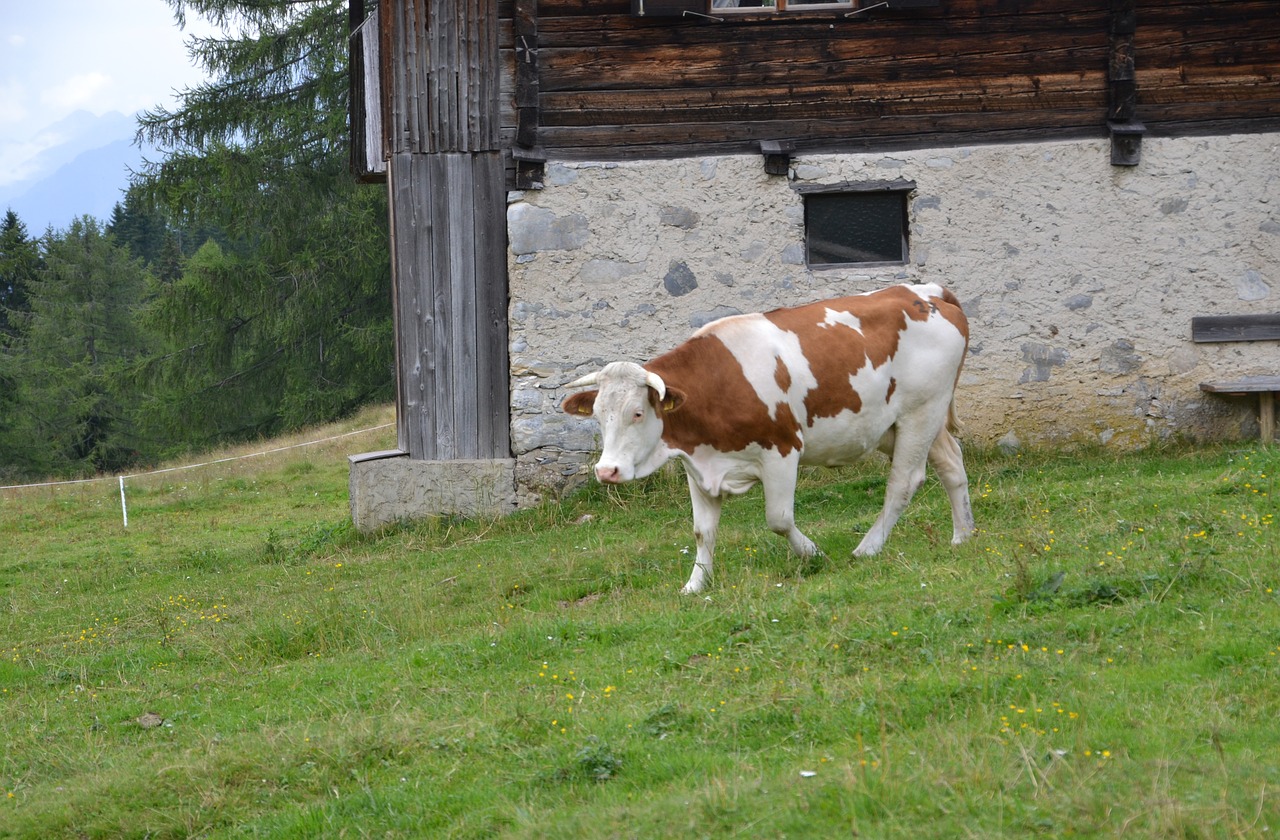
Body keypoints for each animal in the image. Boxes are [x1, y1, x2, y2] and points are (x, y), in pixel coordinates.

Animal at [565, 285, 972, 594]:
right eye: (598, 414)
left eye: (637, 412)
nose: (606, 471)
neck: (716, 383)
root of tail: (922, 292)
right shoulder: (698, 466)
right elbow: (702, 532)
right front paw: (695, 585)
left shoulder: (782, 451)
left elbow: (778, 519)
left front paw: (812, 553)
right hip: (902, 423)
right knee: (951, 463)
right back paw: (963, 535)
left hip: (921, 412)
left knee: (903, 482)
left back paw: (868, 548)